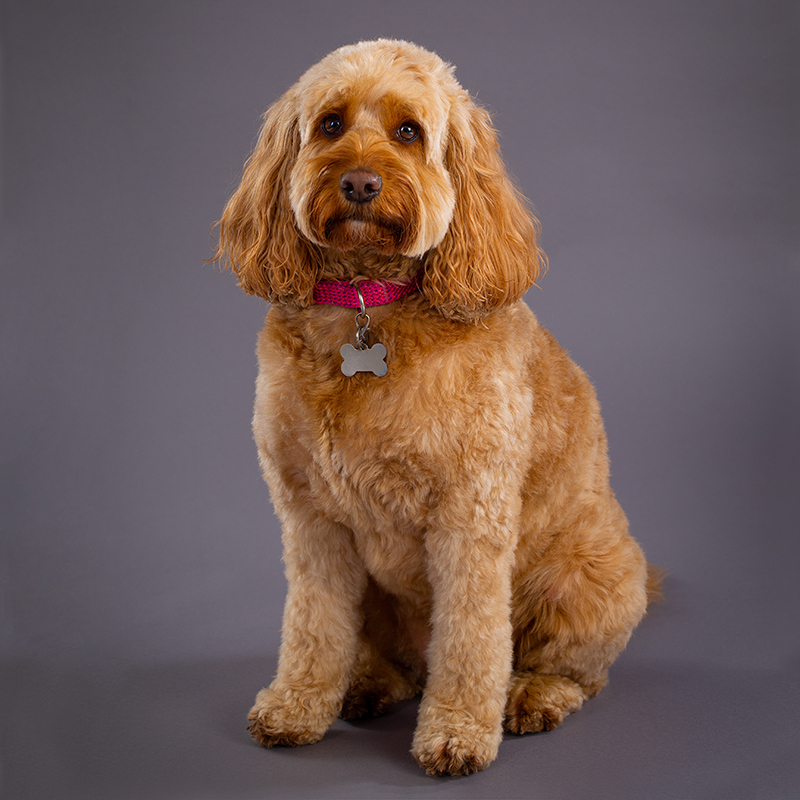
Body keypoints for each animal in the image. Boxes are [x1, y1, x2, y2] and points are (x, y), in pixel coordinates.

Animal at [216, 39, 652, 776]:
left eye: (409, 132)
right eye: (330, 125)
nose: (360, 183)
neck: (368, 305)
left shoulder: (470, 516)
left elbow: (471, 641)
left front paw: (457, 731)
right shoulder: (311, 521)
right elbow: (311, 627)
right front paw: (298, 706)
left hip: (588, 578)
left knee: (571, 671)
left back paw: (533, 695)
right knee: (397, 660)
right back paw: (368, 683)